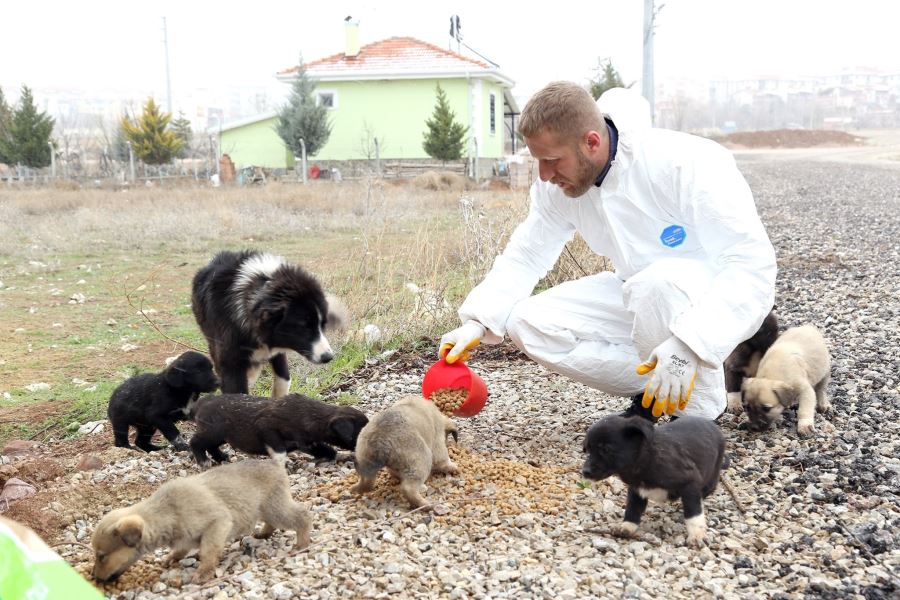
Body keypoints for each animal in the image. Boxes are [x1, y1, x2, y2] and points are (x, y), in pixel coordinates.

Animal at [91, 460, 310, 580]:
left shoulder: (218, 523)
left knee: (303, 515)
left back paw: (302, 544)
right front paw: (172, 558)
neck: (167, 512)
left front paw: (203, 573)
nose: (93, 577)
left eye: (102, 556)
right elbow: (181, 549)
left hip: (276, 508)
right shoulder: (185, 539)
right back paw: (264, 533)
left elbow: (208, 551)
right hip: (264, 509)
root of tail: (275, 462)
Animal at [190, 250, 344, 396]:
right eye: (303, 327)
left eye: (323, 325)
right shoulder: (229, 357)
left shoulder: (277, 343)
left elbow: (284, 378)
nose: (328, 357)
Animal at [190, 392, 370, 466]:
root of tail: (201, 403)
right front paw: (283, 463)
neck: (310, 415)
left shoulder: (309, 442)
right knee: (196, 442)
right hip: (213, 431)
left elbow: (327, 450)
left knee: (211, 446)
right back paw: (203, 461)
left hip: (220, 435)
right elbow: (279, 451)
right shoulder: (267, 429)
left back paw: (221, 458)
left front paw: (339, 456)